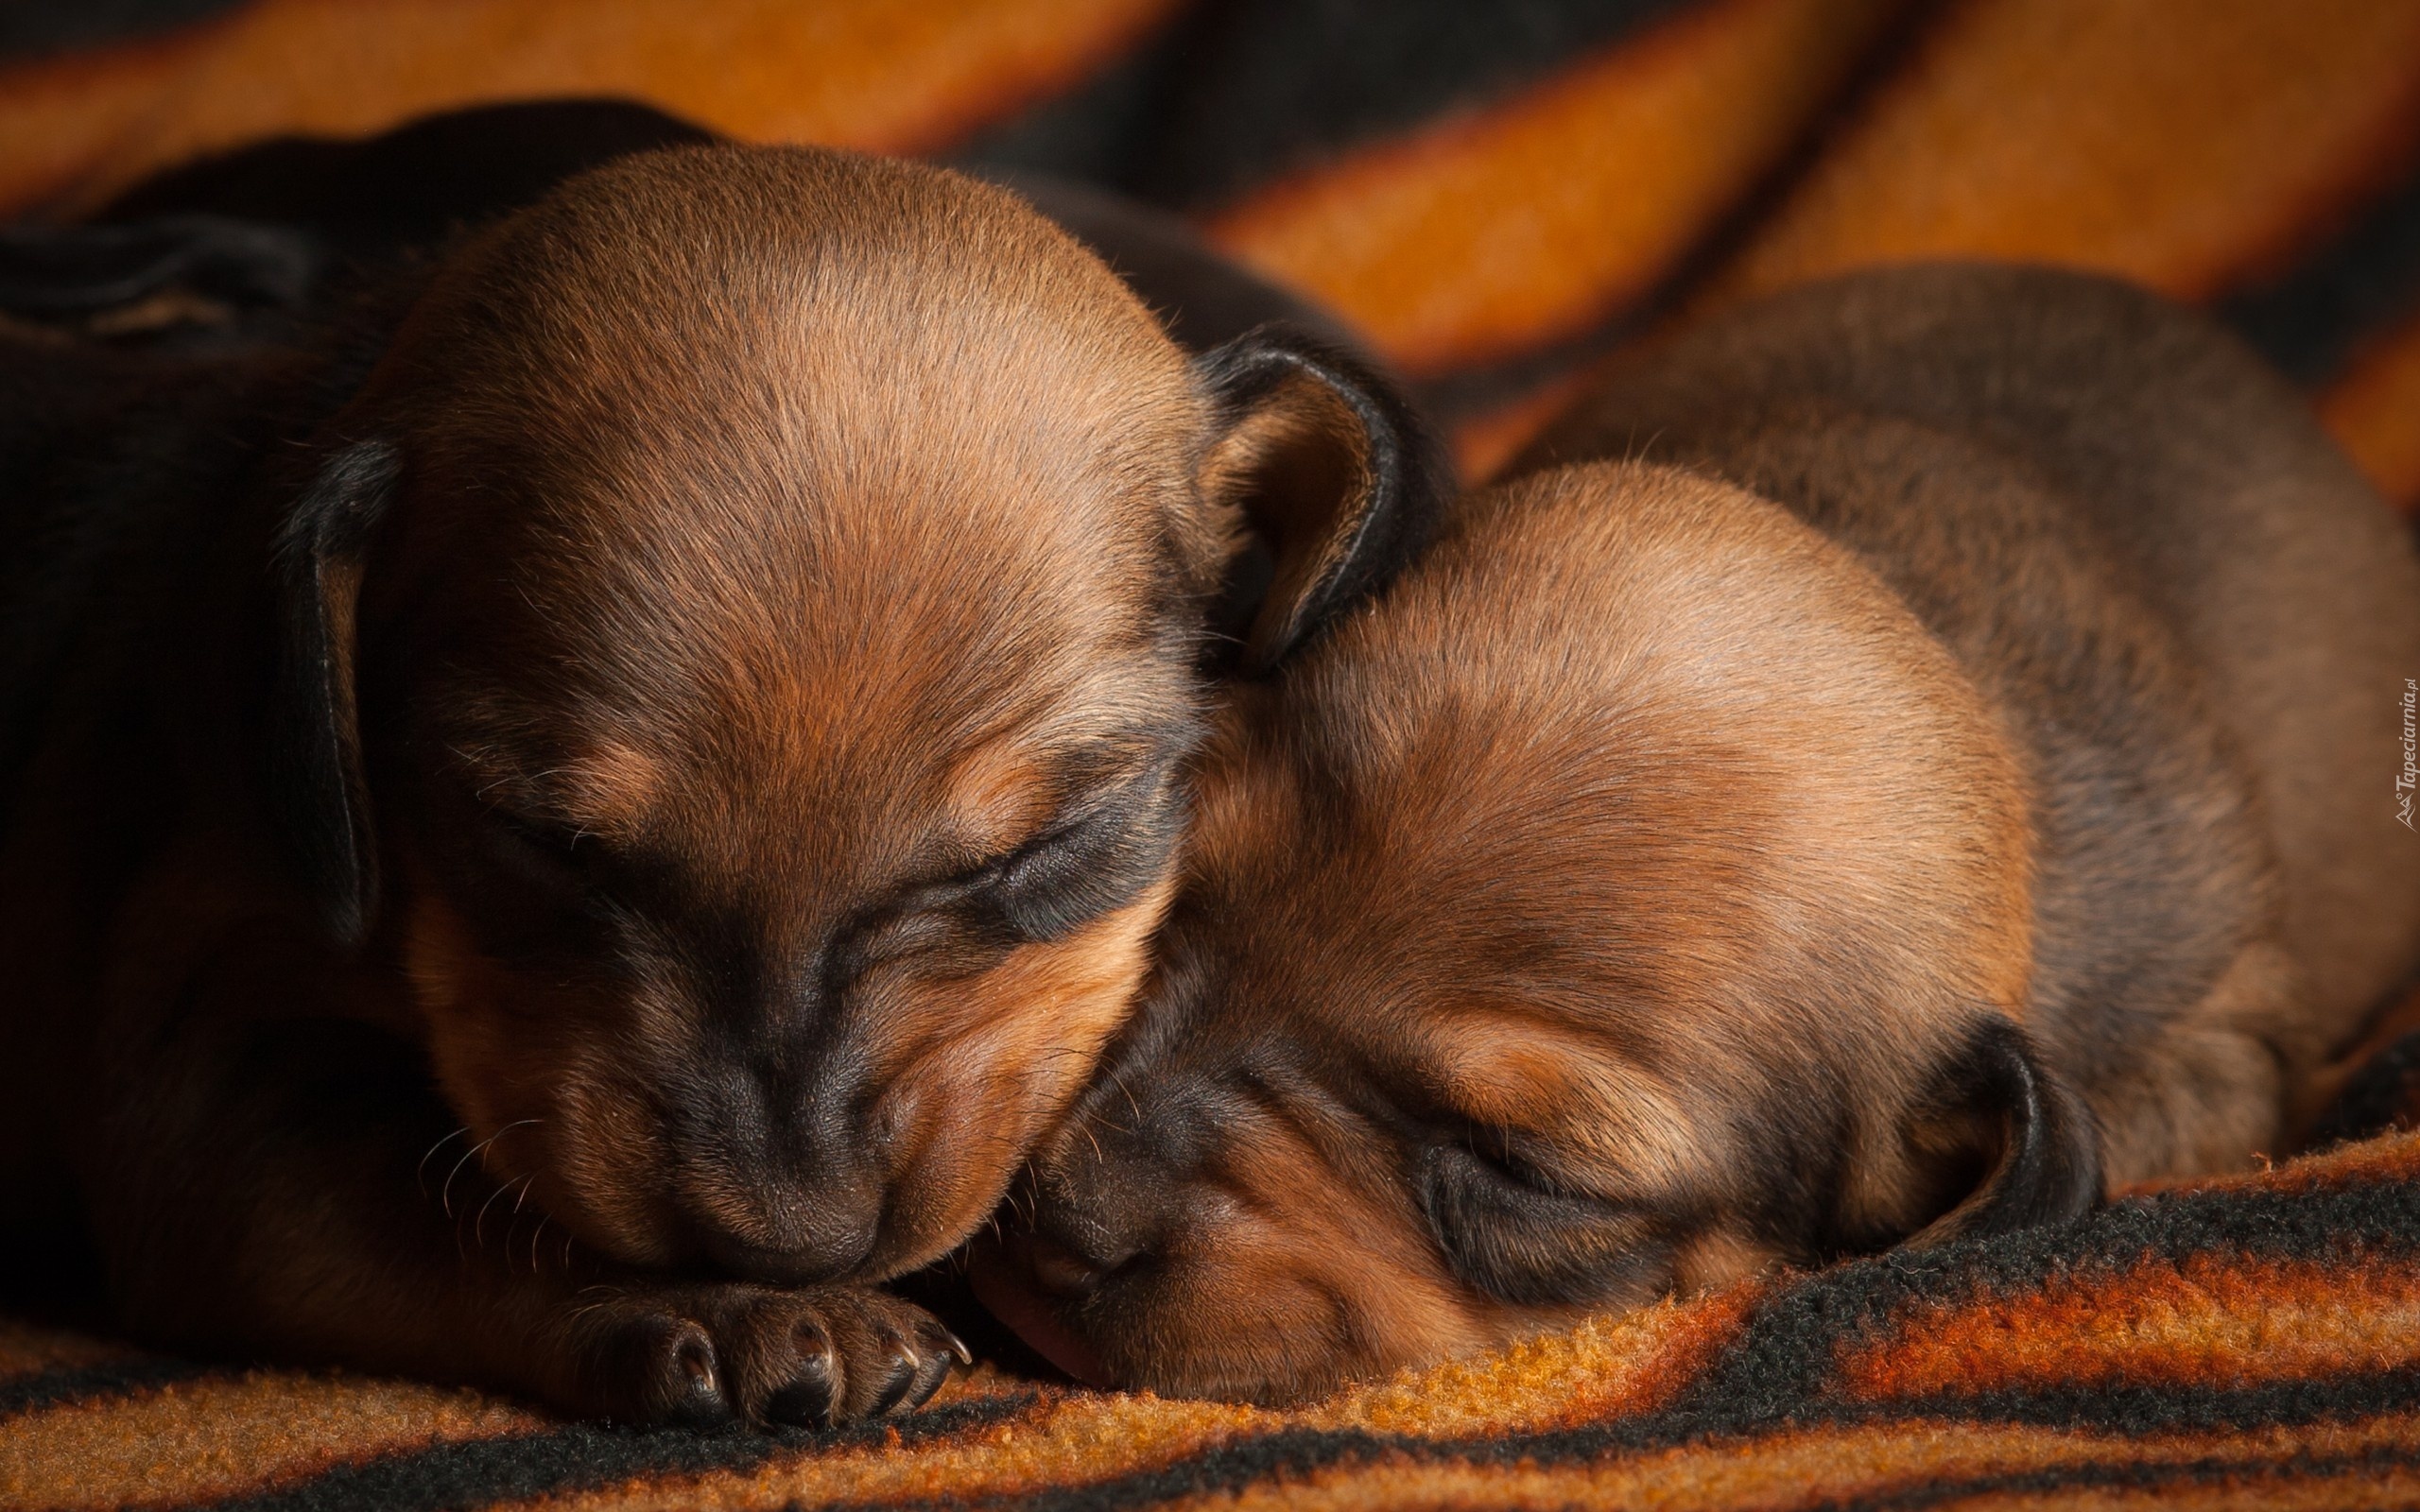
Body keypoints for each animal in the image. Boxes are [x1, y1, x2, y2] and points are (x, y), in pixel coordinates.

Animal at [0, 141, 1432, 1422]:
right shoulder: (188, 1080)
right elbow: (447, 1204)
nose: (787, 1247)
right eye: (545, 842)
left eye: (1042, 846)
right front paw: (728, 1314)